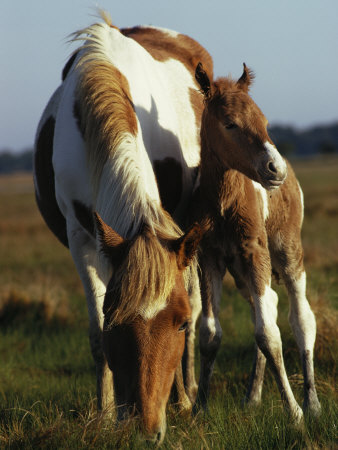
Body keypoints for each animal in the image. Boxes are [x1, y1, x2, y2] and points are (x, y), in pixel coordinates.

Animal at [33, 14, 211, 442]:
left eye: (178, 323)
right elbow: (98, 336)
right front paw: (105, 415)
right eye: (118, 321)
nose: (147, 431)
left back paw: (187, 395)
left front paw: (179, 400)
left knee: (198, 301)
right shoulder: (83, 240)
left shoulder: (174, 236)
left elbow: (190, 306)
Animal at [191, 62, 320, 422]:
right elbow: (210, 334)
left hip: (286, 253)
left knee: (301, 317)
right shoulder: (209, 258)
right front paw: (199, 408)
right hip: (240, 273)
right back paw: (252, 396)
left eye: (264, 122)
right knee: (270, 307)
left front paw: (295, 414)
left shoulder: (255, 251)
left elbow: (269, 334)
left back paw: (312, 403)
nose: (274, 169)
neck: (224, 202)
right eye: (230, 124)